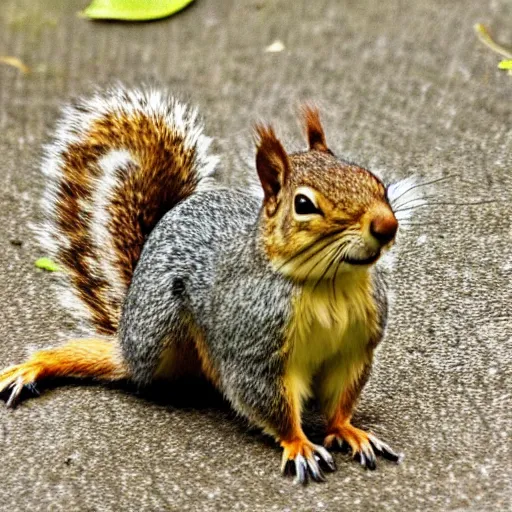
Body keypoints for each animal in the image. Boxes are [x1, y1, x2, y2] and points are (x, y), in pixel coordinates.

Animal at [0, 87, 412, 484]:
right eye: (304, 204)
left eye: (371, 178)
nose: (386, 225)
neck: (330, 284)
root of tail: (128, 319)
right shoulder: (252, 347)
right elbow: (270, 403)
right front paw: (299, 445)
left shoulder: (354, 347)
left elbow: (342, 398)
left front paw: (347, 430)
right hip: (158, 334)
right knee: (119, 362)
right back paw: (39, 365)